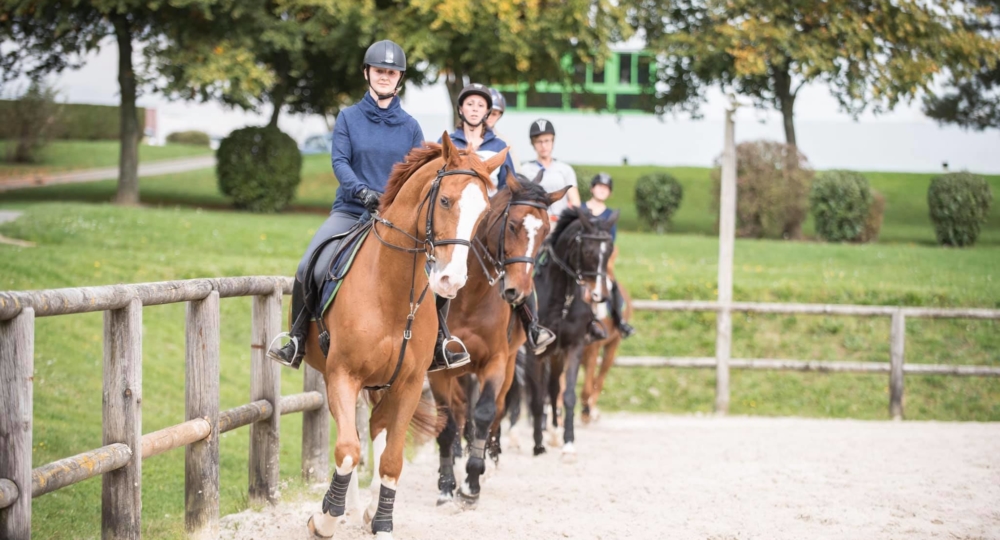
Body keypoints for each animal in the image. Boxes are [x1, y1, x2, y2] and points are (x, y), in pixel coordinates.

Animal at [306, 132, 508, 540]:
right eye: (445, 200)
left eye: (482, 214)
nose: (450, 281)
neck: (392, 291)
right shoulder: (342, 375)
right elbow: (348, 449)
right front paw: (326, 517)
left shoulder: (410, 384)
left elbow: (392, 459)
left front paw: (382, 522)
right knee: (354, 433)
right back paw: (349, 507)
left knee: (377, 429)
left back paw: (367, 508)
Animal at [430, 172, 572, 506]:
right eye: (513, 225)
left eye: (545, 231)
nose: (516, 292)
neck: (469, 297)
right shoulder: (440, 370)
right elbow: (447, 421)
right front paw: (446, 484)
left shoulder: (495, 361)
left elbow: (485, 412)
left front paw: (471, 481)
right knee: (460, 409)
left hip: (508, 364)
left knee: (495, 408)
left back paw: (488, 459)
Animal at [516, 207, 616, 456]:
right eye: (588, 251)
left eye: (609, 250)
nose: (600, 295)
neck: (561, 297)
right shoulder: (534, 354)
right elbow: (537, 398)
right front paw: (538, 444)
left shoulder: (573, 348)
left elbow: (567, 395)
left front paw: (568, 443)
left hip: (556, 355)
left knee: (553, 389)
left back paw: (553, 432)